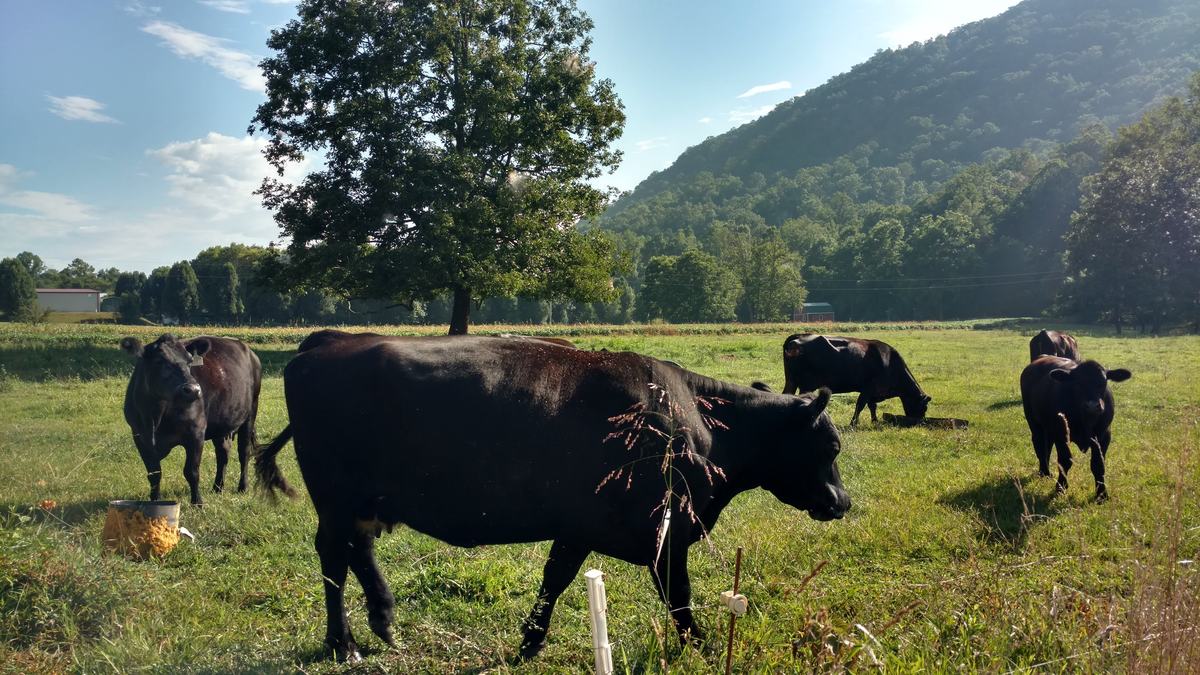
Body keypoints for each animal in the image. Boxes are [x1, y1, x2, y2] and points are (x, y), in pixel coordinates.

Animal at [120, 334, 262, 506]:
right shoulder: (140, 436)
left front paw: (197, 503)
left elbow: (191, 471)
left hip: (251, 412)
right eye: (159, 361)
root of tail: (249, 351)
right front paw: (154, 501)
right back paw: (217, 487)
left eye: (189, 362)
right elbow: (154, 473)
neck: (156, 417)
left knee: (244, 452)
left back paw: (242, 487)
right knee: (223, 453)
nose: (194, 390)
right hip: (221, 422)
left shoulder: (196, 432)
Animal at [254, 333, 850, 662]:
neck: (696, 423)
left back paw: (384, 624)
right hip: (336, 500)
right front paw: (700, 646)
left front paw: (530, 641)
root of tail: (327, 343)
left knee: (359, 554)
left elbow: (556, 579)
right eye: (831, 444)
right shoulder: (665, 532)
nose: (842, 502)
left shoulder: (581, 526)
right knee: (334, 559)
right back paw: (344, 643)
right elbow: (677, 594)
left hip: (362, 503)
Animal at [782, 333, 931, 425]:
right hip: (806, 384)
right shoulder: (868, 388)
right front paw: (853, 423)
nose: (920, 423)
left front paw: (874, 421)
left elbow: (872, 406)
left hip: (791, 381)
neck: (890, 363)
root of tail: (800, 335)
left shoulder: (873, 392)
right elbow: (860, 405)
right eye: (924, 407)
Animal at [1020, 356, 1131, 500]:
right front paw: (1061, 487)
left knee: (1046, 445)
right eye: (1078, 384)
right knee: (1039, 444)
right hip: (1034, 421)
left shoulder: (1104, 435)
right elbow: (1065, 461)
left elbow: (1098, 464)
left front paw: (1102, 495)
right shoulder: (1061, 434)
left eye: (1103, 382)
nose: (1092, 406)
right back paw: (1044, 472)